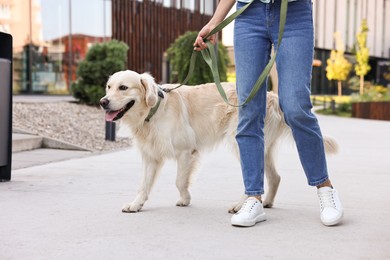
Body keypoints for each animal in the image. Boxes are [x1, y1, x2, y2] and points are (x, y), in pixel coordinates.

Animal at [100, 69, 338, 213]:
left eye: (123, 88)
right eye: (109, 87)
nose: (103, 102)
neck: (153, 111)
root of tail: (272, 95)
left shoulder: (186, 151)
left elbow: (179, 181)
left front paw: (185, 199)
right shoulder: (150, 156)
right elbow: (143, 185)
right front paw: (136, 205)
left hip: (240, 141)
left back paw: (241, 205)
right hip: (265, 148)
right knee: (275, 177)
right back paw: (267, 202)